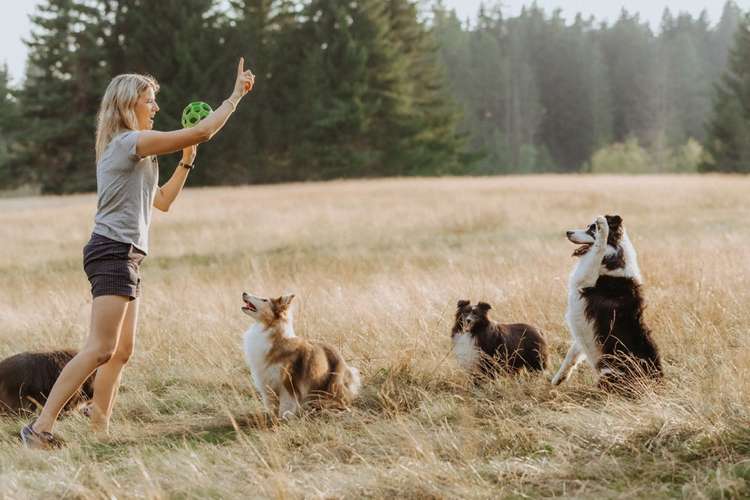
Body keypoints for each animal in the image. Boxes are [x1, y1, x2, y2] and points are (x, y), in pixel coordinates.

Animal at [552, 213, 664, 388]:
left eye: (592, 229)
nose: (568, 232)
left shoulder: (585, 278)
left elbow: (599, 248)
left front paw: (603, 226)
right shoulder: (582, 330)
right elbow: (572, 353)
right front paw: (559, 377)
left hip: (610, 373)